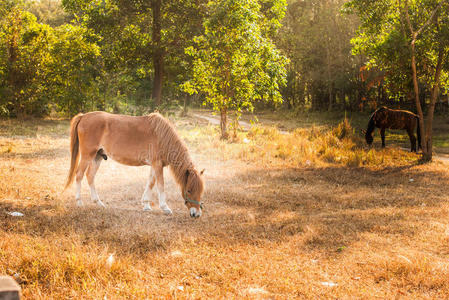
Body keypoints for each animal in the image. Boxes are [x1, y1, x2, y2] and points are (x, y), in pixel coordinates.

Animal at [64, 111, 205, 217]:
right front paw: (165, 208)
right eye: (189, 190)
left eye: (201, 191)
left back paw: (98, 203)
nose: (196, 214)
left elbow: (150, 183)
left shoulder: (154, 165)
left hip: (97, 157)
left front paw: (146, 205)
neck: (162, 137)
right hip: (87, 155)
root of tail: (83, 116)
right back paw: (79, 202)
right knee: (79, 175)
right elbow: (160, 186)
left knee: (90, 176)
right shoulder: (158, 165)